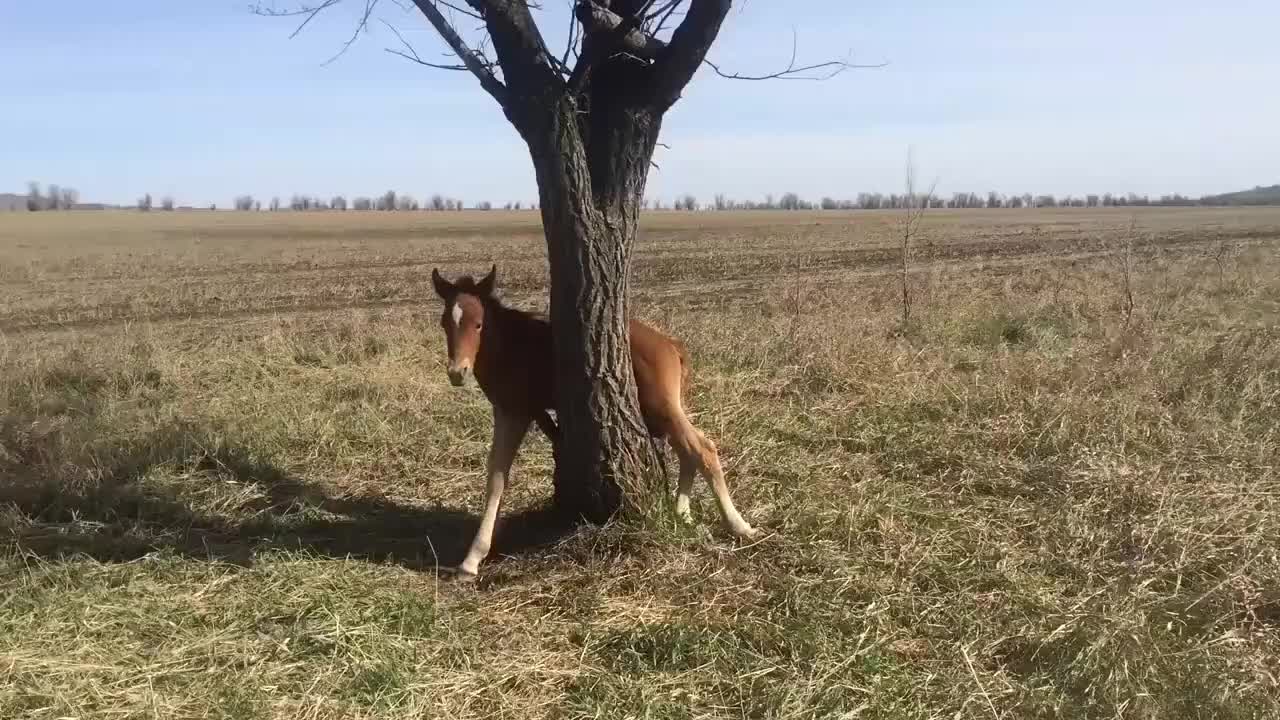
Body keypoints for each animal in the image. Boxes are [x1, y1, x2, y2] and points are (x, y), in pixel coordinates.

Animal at [430, 266, 752, 573]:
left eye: (478, 324)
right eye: (445, 323)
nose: (457, 372)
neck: (511, 345)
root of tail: (670, 344)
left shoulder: (514, 412)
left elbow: (498, 477)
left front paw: (472, 558)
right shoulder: (514, 411)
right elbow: (497, 473)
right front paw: (472, 558)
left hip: (662, 407)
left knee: (702, 448)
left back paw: (738, 525)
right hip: (659, 413)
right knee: (687, 452)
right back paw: (682, 512)